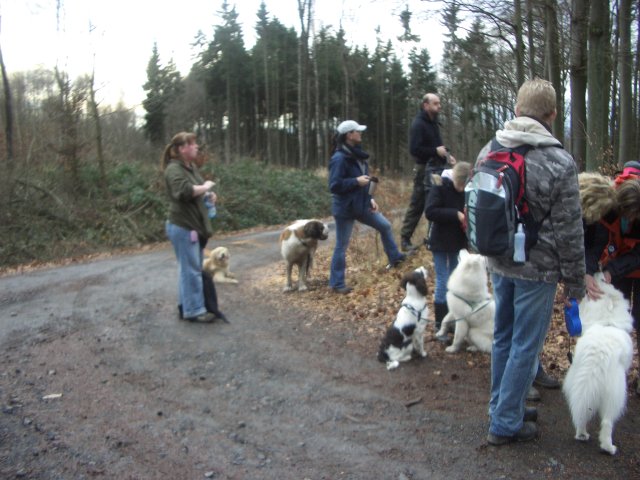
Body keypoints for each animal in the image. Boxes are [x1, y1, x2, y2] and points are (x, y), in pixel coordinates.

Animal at [564, 272, 632, 456]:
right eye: (604, 282)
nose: (598, 272)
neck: (606, 321)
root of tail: (599, 354)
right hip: (615, 396)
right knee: (607, 422)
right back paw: (609, 447)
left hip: (578, 382)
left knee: (580, 413)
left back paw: (581, 434)